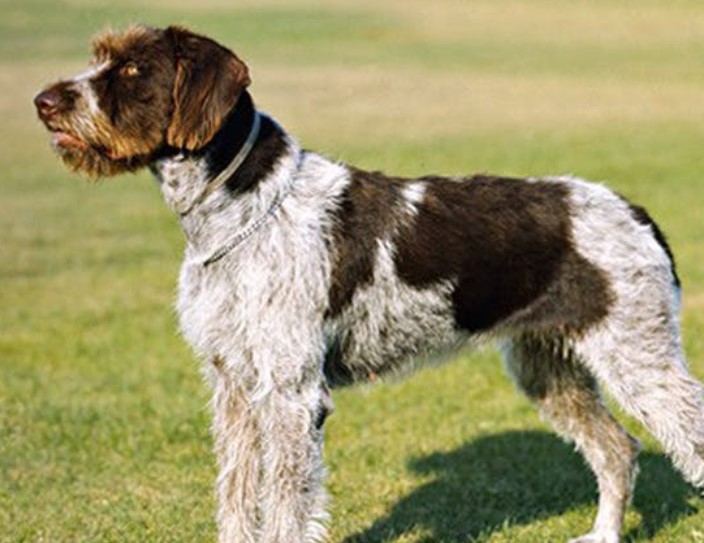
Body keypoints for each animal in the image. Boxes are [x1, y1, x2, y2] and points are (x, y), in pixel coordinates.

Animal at [34, 24, 704, 543]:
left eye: (132, 68)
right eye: (102, 56)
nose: (42, 101)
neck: (244, 210)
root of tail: (635, 211)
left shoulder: (291, 394)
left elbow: (286, 508)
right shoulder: (233, 387)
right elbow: (237, 496)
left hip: (639, 358)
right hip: (549, 367)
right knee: (617, 449)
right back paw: (604, 532)